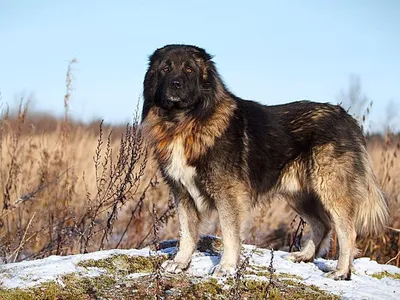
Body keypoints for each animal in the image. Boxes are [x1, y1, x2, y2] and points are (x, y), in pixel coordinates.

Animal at [140, 44, 388, 282]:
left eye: (189, 69)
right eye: (165, 68)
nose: (176, 84)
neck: (184, 121)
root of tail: (347, 117)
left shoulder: (228, 194)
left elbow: (229, 233)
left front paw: (226, 267)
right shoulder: (182, 192)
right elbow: (187, 232)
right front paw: (180, 263)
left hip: (330, 188)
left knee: (346, 231)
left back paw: (341, 272)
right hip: (298, 194)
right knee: (322, 224)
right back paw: (305, 256)